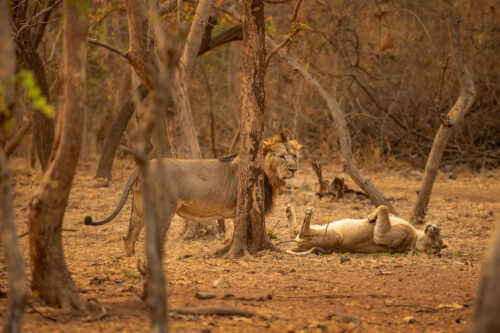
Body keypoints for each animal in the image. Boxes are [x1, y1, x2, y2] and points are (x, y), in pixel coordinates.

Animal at [84, 134, 300, 255]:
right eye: (282, 156)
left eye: (294, 156)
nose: (294, 169)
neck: (269, 175)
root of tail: (143, 167)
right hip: (164, 208)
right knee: (151, 237)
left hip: (137, 206)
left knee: (129, 236)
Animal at [286, 202, 446, 254]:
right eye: (438, 237)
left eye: (435, 244)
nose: (435, 228)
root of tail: (298, 245)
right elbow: (386, 209)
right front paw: (372, 217)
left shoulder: (388, 236)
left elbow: (384, 207)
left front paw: (370, 217)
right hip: (322, 227)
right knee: (294, 230)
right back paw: (289, 210)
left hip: (333, 235)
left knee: (301, 232)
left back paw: (307, 214)